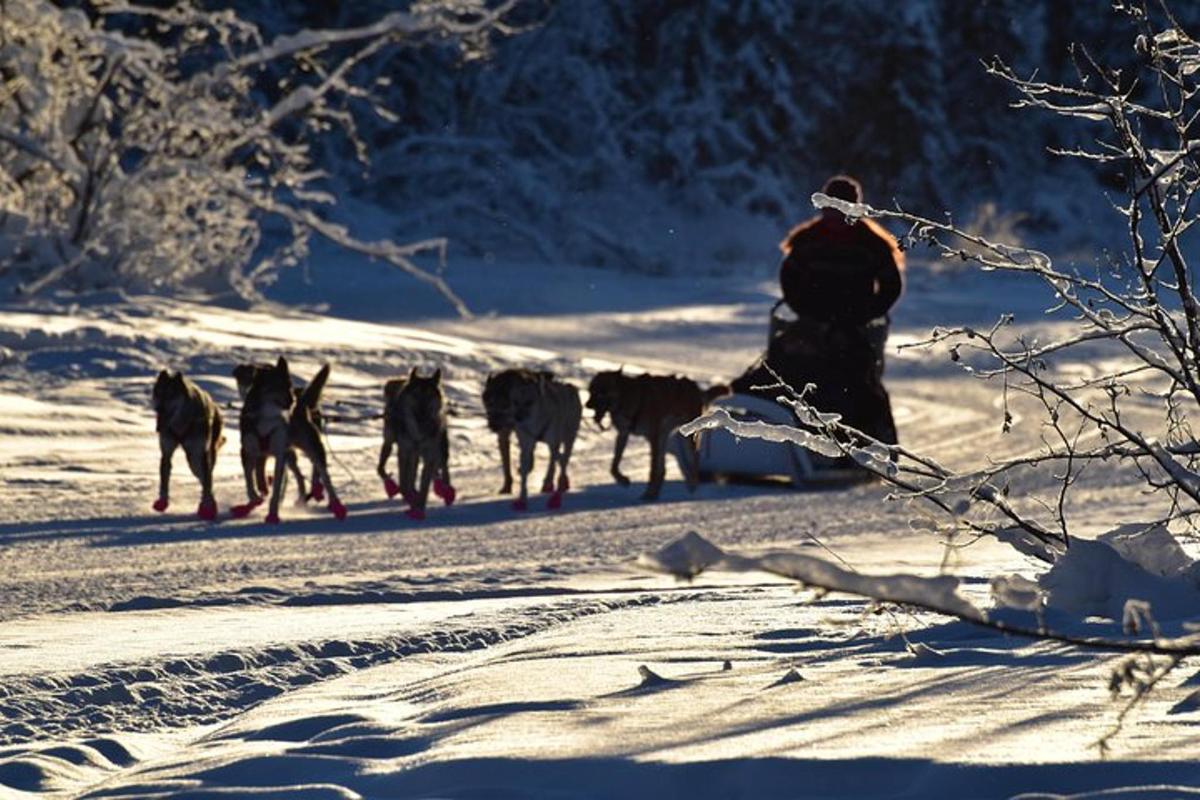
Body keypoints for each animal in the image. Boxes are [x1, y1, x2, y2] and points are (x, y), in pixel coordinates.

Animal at [152, 369, 225, 520]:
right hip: (192, 460)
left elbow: (207, 483)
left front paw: (206, 507)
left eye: (171, 394)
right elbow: (164, 479)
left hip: (196, 459)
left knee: (207, 478)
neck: (181, 422)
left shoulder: (201, 453)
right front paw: (162, 501)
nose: (159, 409)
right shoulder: (166, 453)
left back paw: (209, 505)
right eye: (158, 393)